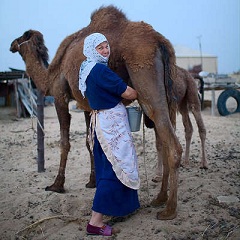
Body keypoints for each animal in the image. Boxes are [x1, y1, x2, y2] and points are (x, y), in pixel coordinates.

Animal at [9, 5, 182, 219]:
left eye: (21, 36)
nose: (11, 44)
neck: (50, 75)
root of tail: (160, 40)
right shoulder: (86, 104)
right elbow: (89, 142)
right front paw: (92, 181)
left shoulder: (59, 95)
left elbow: (65, 142)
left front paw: (57, 184)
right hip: (168, 91)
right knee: (163, 138)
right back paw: (159, 198)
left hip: (145, 75)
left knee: (170, 142)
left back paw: (169, 209)